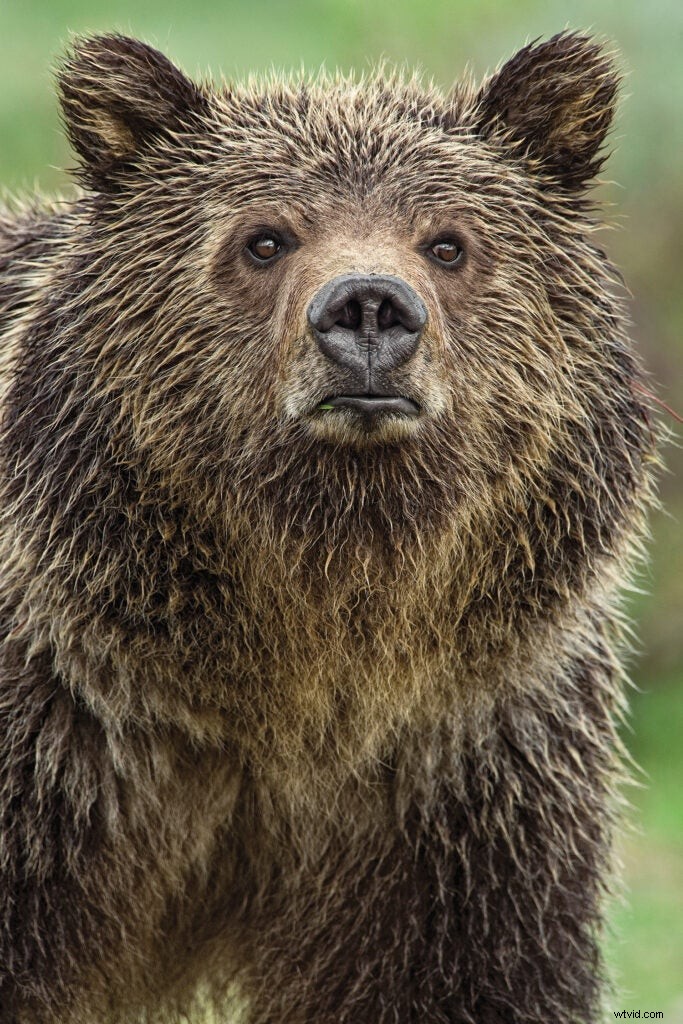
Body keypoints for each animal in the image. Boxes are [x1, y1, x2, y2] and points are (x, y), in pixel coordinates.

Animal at [0, 30, 657, 1024]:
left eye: (449, 242)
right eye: (264, 238)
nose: (369, 308)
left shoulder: (465, 773)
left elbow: (460, 976)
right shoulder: (63, 739)